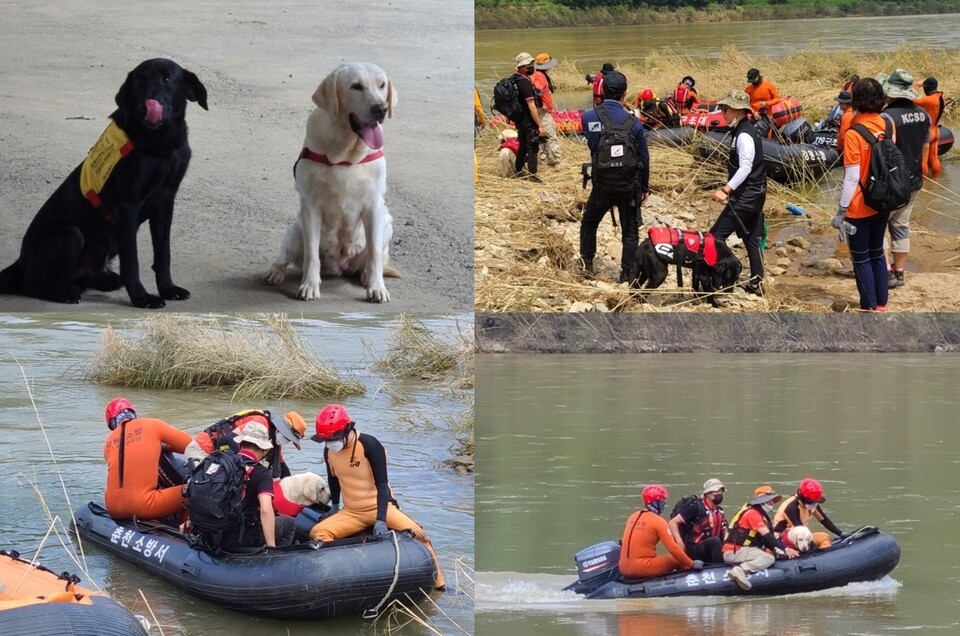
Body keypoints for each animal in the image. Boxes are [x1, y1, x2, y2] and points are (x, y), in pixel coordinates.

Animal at [0, 58, 208, 306]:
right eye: (139, 81)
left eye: (167, 79)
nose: (144, 106)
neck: (161, 142)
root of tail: (19, 263)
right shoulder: (128, 206)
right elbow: (132, 261)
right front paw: (141, 297)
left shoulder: (165, 202)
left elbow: (163, 253)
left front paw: (168, 289)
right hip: (71, 234)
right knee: (31, 284)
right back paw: (63, 293)